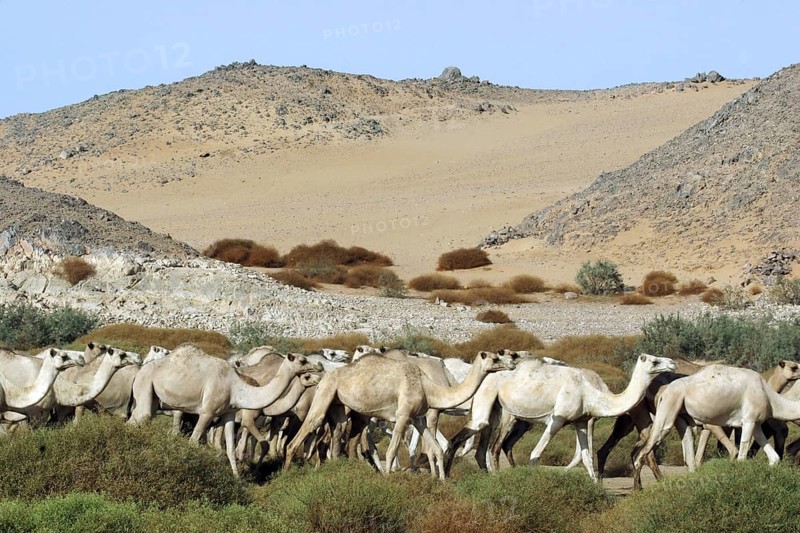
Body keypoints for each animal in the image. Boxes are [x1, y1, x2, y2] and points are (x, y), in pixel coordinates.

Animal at [130, 344, 322, 475]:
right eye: (302, 360)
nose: (320, 367)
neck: (237, 387)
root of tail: (140, 370)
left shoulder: (228, 413)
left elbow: (230, 447)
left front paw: (237, 478)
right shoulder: (208, 412)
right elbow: (193, 441)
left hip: (152, 399)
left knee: (135, 419)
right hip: (145, 383)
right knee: (143, 418)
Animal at [284, 351, 516, 479]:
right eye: (495, 358)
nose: (512, 364)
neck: (430, 388)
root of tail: (325, 375)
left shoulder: (418, 418)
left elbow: (436, 448)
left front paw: (441, 480)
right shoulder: (404, 415)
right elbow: (392, 450)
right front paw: (388, 478)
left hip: (340, 406)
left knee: (340, 435)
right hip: (326, 392)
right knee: (307, 429)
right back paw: (286, 473)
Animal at [633, 363, 800, 489]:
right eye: (794, 367)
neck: (771, 399)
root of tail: (663, 392)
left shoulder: (756, 424)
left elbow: (774, 458)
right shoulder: (749, 421)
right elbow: (742, 457)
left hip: (680, 416)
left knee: (689, 454)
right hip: (668, 408)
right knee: (642, 454)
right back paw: (638, 491)